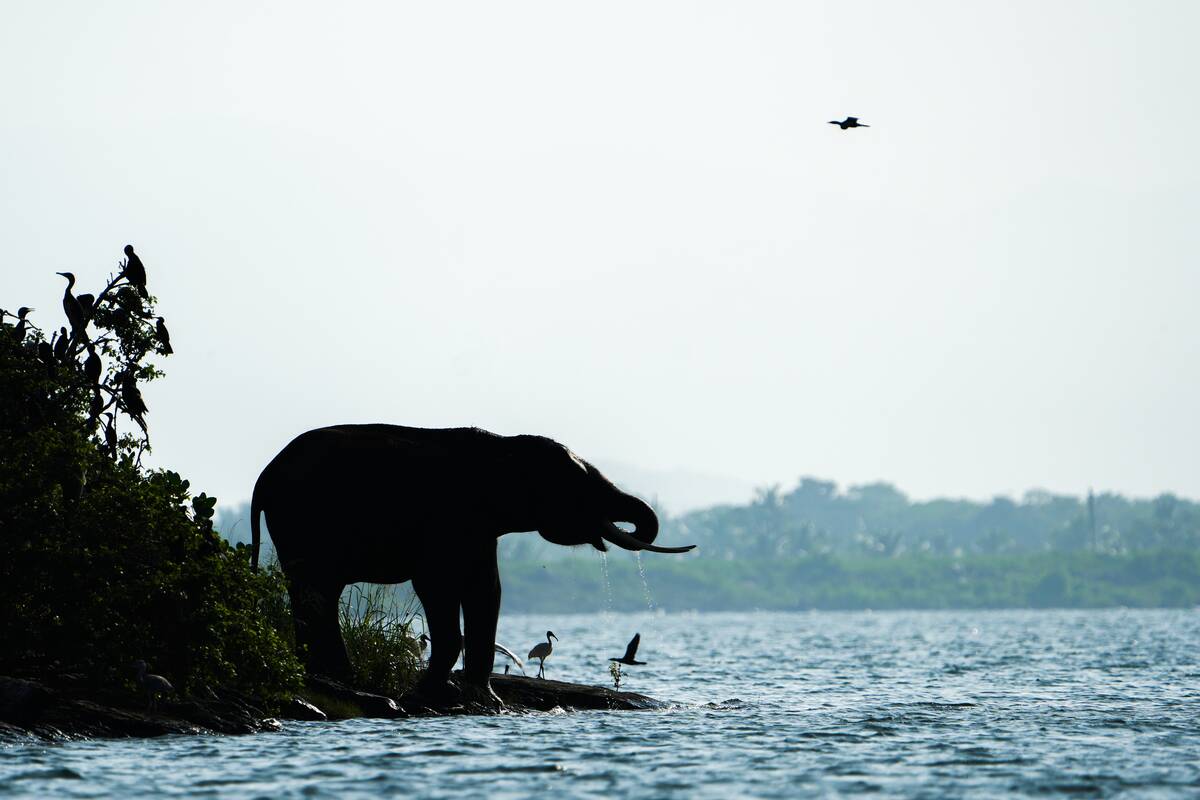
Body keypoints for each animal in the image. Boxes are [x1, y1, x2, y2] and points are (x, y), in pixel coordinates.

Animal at [250, 424, 694, 704]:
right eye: (578, 488)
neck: (504, 445)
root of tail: (263, 476)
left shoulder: (479, 529)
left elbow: (487, 588)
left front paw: (484, 699)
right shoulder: (445, 519)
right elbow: (437, 585)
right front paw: (430, 694)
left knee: (318, 591)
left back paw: (336, 677)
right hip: (299, 520)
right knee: (314, 589)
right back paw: (338, 678)